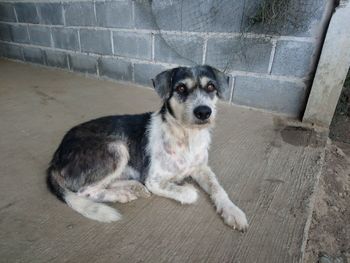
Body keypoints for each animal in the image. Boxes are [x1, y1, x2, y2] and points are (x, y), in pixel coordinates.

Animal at [47, 65, 249, 232]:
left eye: (211, 87)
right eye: (181, 88)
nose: (204, 112)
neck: (186, 136)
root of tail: (56, 157)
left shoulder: (201, 168)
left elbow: (218, 188)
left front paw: (233, 212)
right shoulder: (154, 180)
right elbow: (190, 193)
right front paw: (185, 187)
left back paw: (133, 186)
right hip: (117, 147)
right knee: (85, 192)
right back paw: (122, 194)